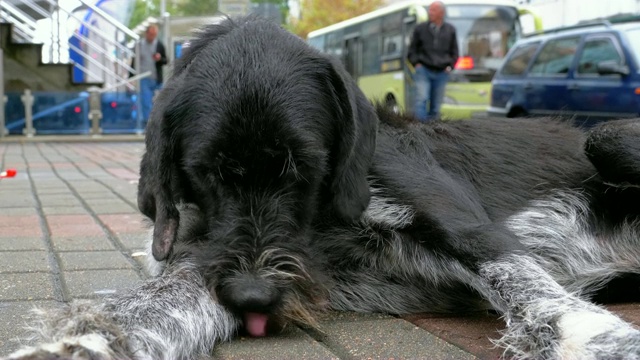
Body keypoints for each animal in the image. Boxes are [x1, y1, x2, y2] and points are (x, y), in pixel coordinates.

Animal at [3, 16, 640, 360]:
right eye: (206, 171)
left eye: (303, 168)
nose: (254, 297)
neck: (326, 222)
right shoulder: (217, 263)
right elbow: (157, 306)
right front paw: (83, 344)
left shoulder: (468, 227)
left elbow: (530, 287)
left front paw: (597, 339)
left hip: (606, 137)